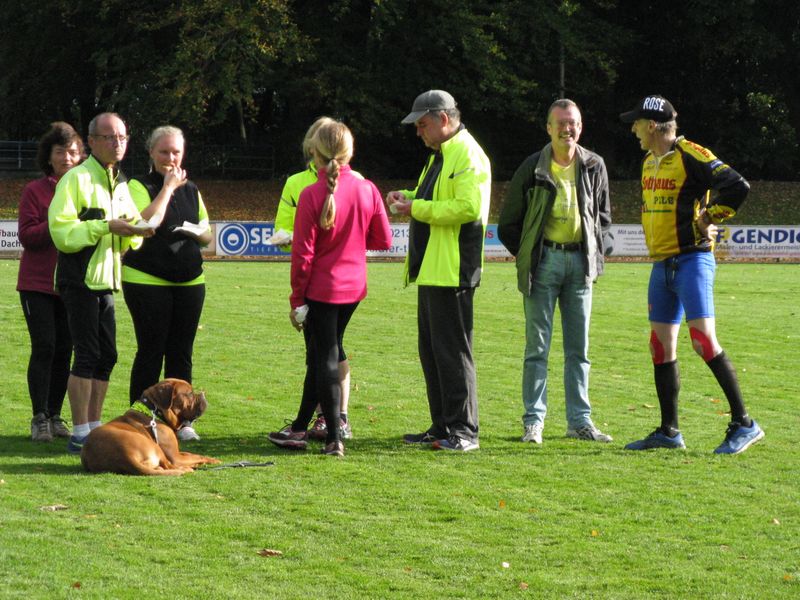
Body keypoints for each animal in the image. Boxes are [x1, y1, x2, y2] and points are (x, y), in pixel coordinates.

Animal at [81, 378, 220, 476]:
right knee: (170, 466)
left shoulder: (178, 452)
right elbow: (196, 456)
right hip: (156, 447)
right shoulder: (175, 457)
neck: (154, 410)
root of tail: (124, 457)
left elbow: (192, 454)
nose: (203, 394)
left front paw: (211, 459)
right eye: (190, 394)